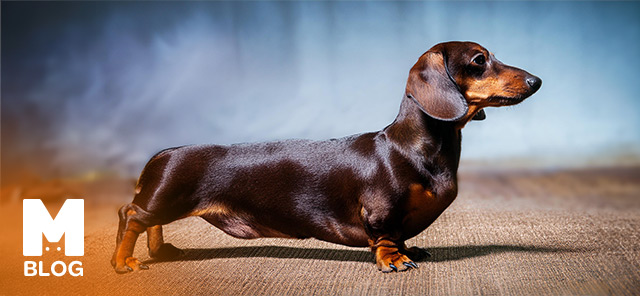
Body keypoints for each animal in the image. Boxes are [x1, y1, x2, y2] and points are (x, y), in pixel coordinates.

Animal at [111, 41, 540, 272]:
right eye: (479, 60)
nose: (537, 80)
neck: (414, 146)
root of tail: (164, 153)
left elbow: (402, 236)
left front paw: (407, 249)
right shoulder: (381, 211)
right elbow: (386, 236)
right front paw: (394, 259)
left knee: (145, 221)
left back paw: (160, 250)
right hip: (164, 200)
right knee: (130, 214)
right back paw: (123, 261)